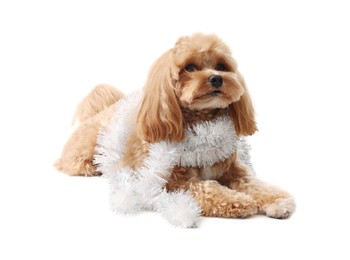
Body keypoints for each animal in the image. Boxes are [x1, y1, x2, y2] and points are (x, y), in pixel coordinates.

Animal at [56, 33, 296, 222]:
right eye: (189, 67)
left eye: (221, 66)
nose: (216, 78)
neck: (203, 126)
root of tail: (104, 110)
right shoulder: (172, 181)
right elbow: (207, 187)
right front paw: (236, 200)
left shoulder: (234, 171)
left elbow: (255, 184)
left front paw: (277, 200)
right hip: (86, 152)